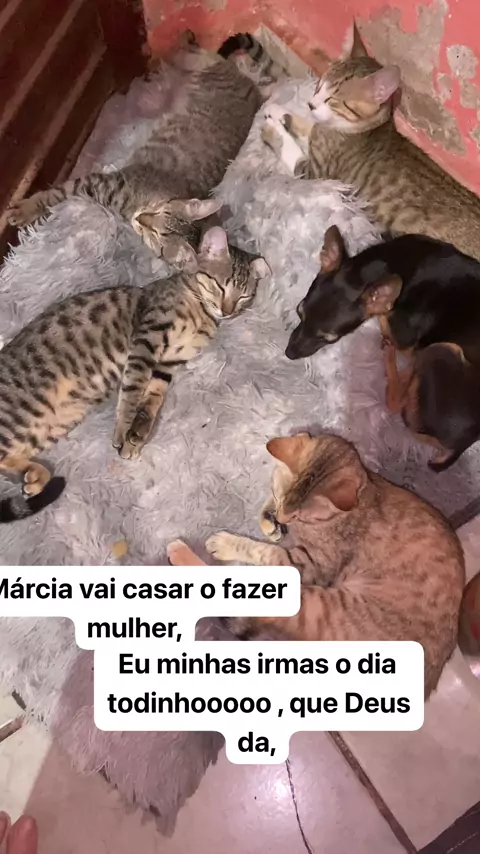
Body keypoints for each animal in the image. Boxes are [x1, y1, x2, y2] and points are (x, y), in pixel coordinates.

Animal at [0, 226, 268, 522]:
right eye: (220, 285)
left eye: (243, 296)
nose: (228, 311)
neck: (201, 313)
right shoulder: (148, 338)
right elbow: (133, 389)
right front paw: (123, 429)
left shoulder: (169, 363)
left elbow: (153, 396)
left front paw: (137, 433)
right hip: (22, 417)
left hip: (48, 426)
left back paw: (34, 476)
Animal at [7, 31, 278, 267]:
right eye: (159, 210)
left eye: (156, 234)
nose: (141, 218)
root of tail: (254, 91)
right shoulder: (99, 181)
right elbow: (54, 193)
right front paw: (28, 208)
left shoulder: (99, 184)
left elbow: (60, 193)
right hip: (202, 67)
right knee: (195, 53)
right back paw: (183, 39)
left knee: (198, 55)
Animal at [168, 432, 465, 697]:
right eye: (283, 503)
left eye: (300, 515)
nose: (284, 520)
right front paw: (270, 522)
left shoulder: (308, 565)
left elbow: (263, 550)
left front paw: (236, 541)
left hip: (313, 605)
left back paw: (182, 553)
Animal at [261, 24, 480, 261]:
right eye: (319, 86)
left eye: (332, 99)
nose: (311, 104)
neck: (353, 129)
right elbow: (305, 125)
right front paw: (277, 111)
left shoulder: (316, 172)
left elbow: (293, 150)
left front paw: (273, 130)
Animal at [286, 226, 480, 470]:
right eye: (299, 311)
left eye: (328, 338)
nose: (289, 353)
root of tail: (465, 442)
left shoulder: (405, 336)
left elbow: (389, 323)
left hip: (443, 350)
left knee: (395, 400)